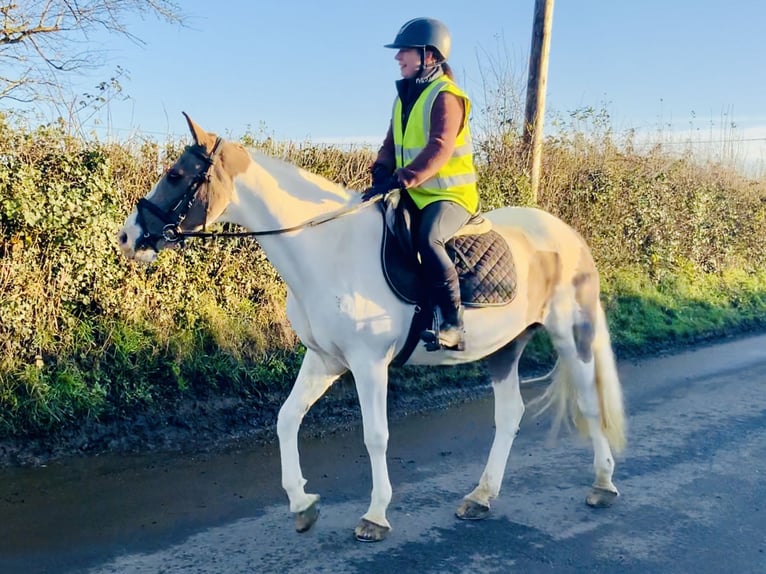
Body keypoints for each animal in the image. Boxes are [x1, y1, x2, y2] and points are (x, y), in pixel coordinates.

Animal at [117, 113, 628, 544]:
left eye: (177, 175)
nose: (127, 237)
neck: (327, 247)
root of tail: (568, 235)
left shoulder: (368, 364)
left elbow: (375, 436)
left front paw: (375, 516)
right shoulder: (325, 359)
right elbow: (286, 418)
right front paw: (302, 505)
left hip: (570, 335)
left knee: (588, 402)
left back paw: (603, 484)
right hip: (505, 347)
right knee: (509, 415)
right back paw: (480, 497)